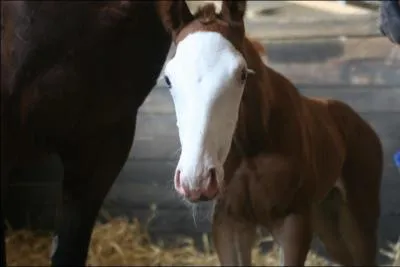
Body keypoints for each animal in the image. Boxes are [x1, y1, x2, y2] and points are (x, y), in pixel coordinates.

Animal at [158, 1, 382, 266]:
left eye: (242, 74)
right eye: (168, 79)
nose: (197, 180)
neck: (252, 147)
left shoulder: (294, 223)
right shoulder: (229, 224)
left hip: (359, 218)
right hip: (327, 218)